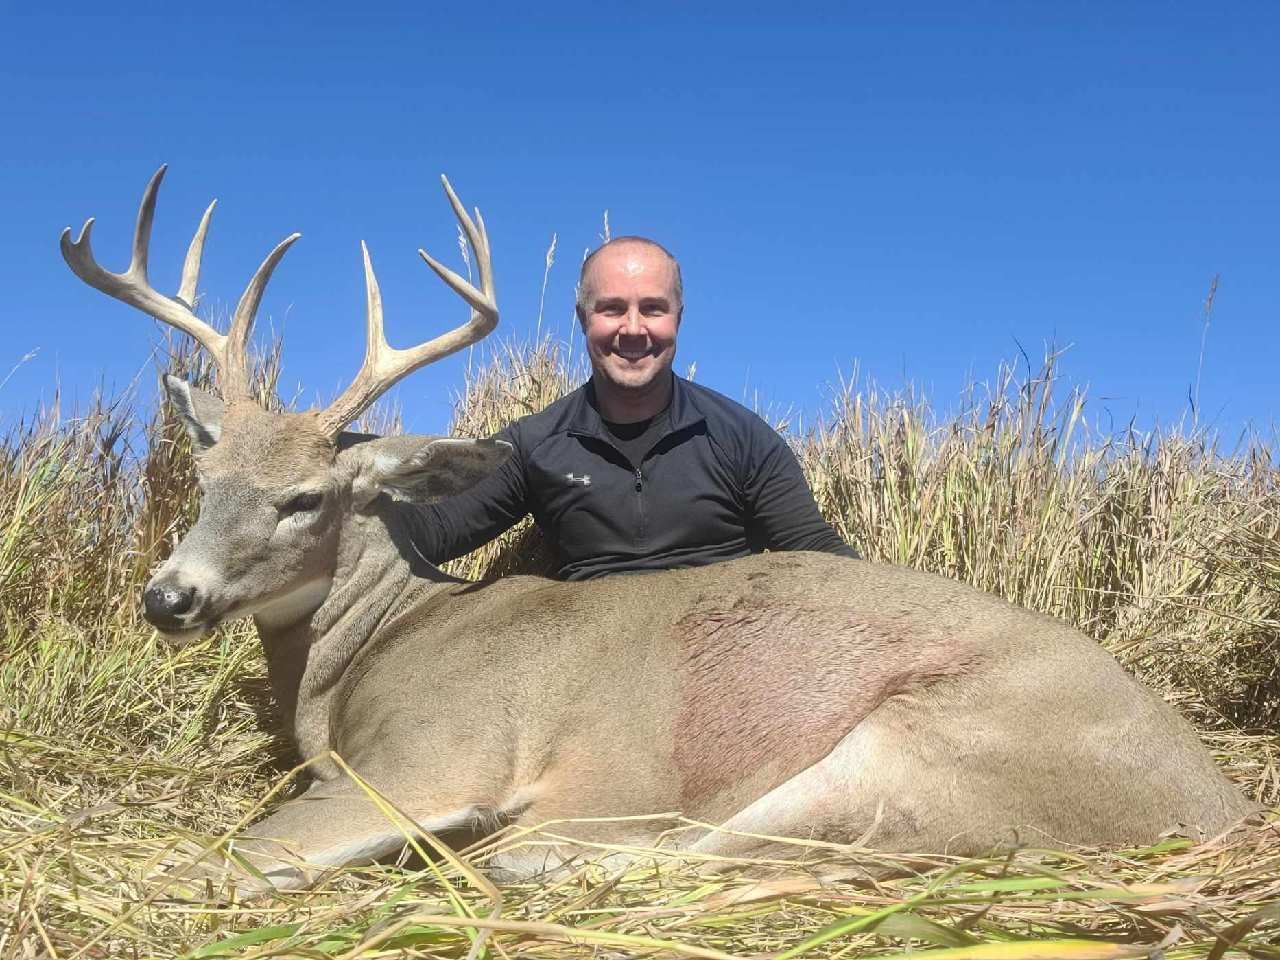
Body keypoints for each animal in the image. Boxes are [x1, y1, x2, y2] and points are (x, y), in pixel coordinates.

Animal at [61, 167, 1256, 892]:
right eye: (202, 474)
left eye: (306, 498)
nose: (168, 596)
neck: (372, 649)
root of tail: (1218, 799)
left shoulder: (431, 754)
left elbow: (235, 856)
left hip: (921, 746)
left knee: (675, 849)